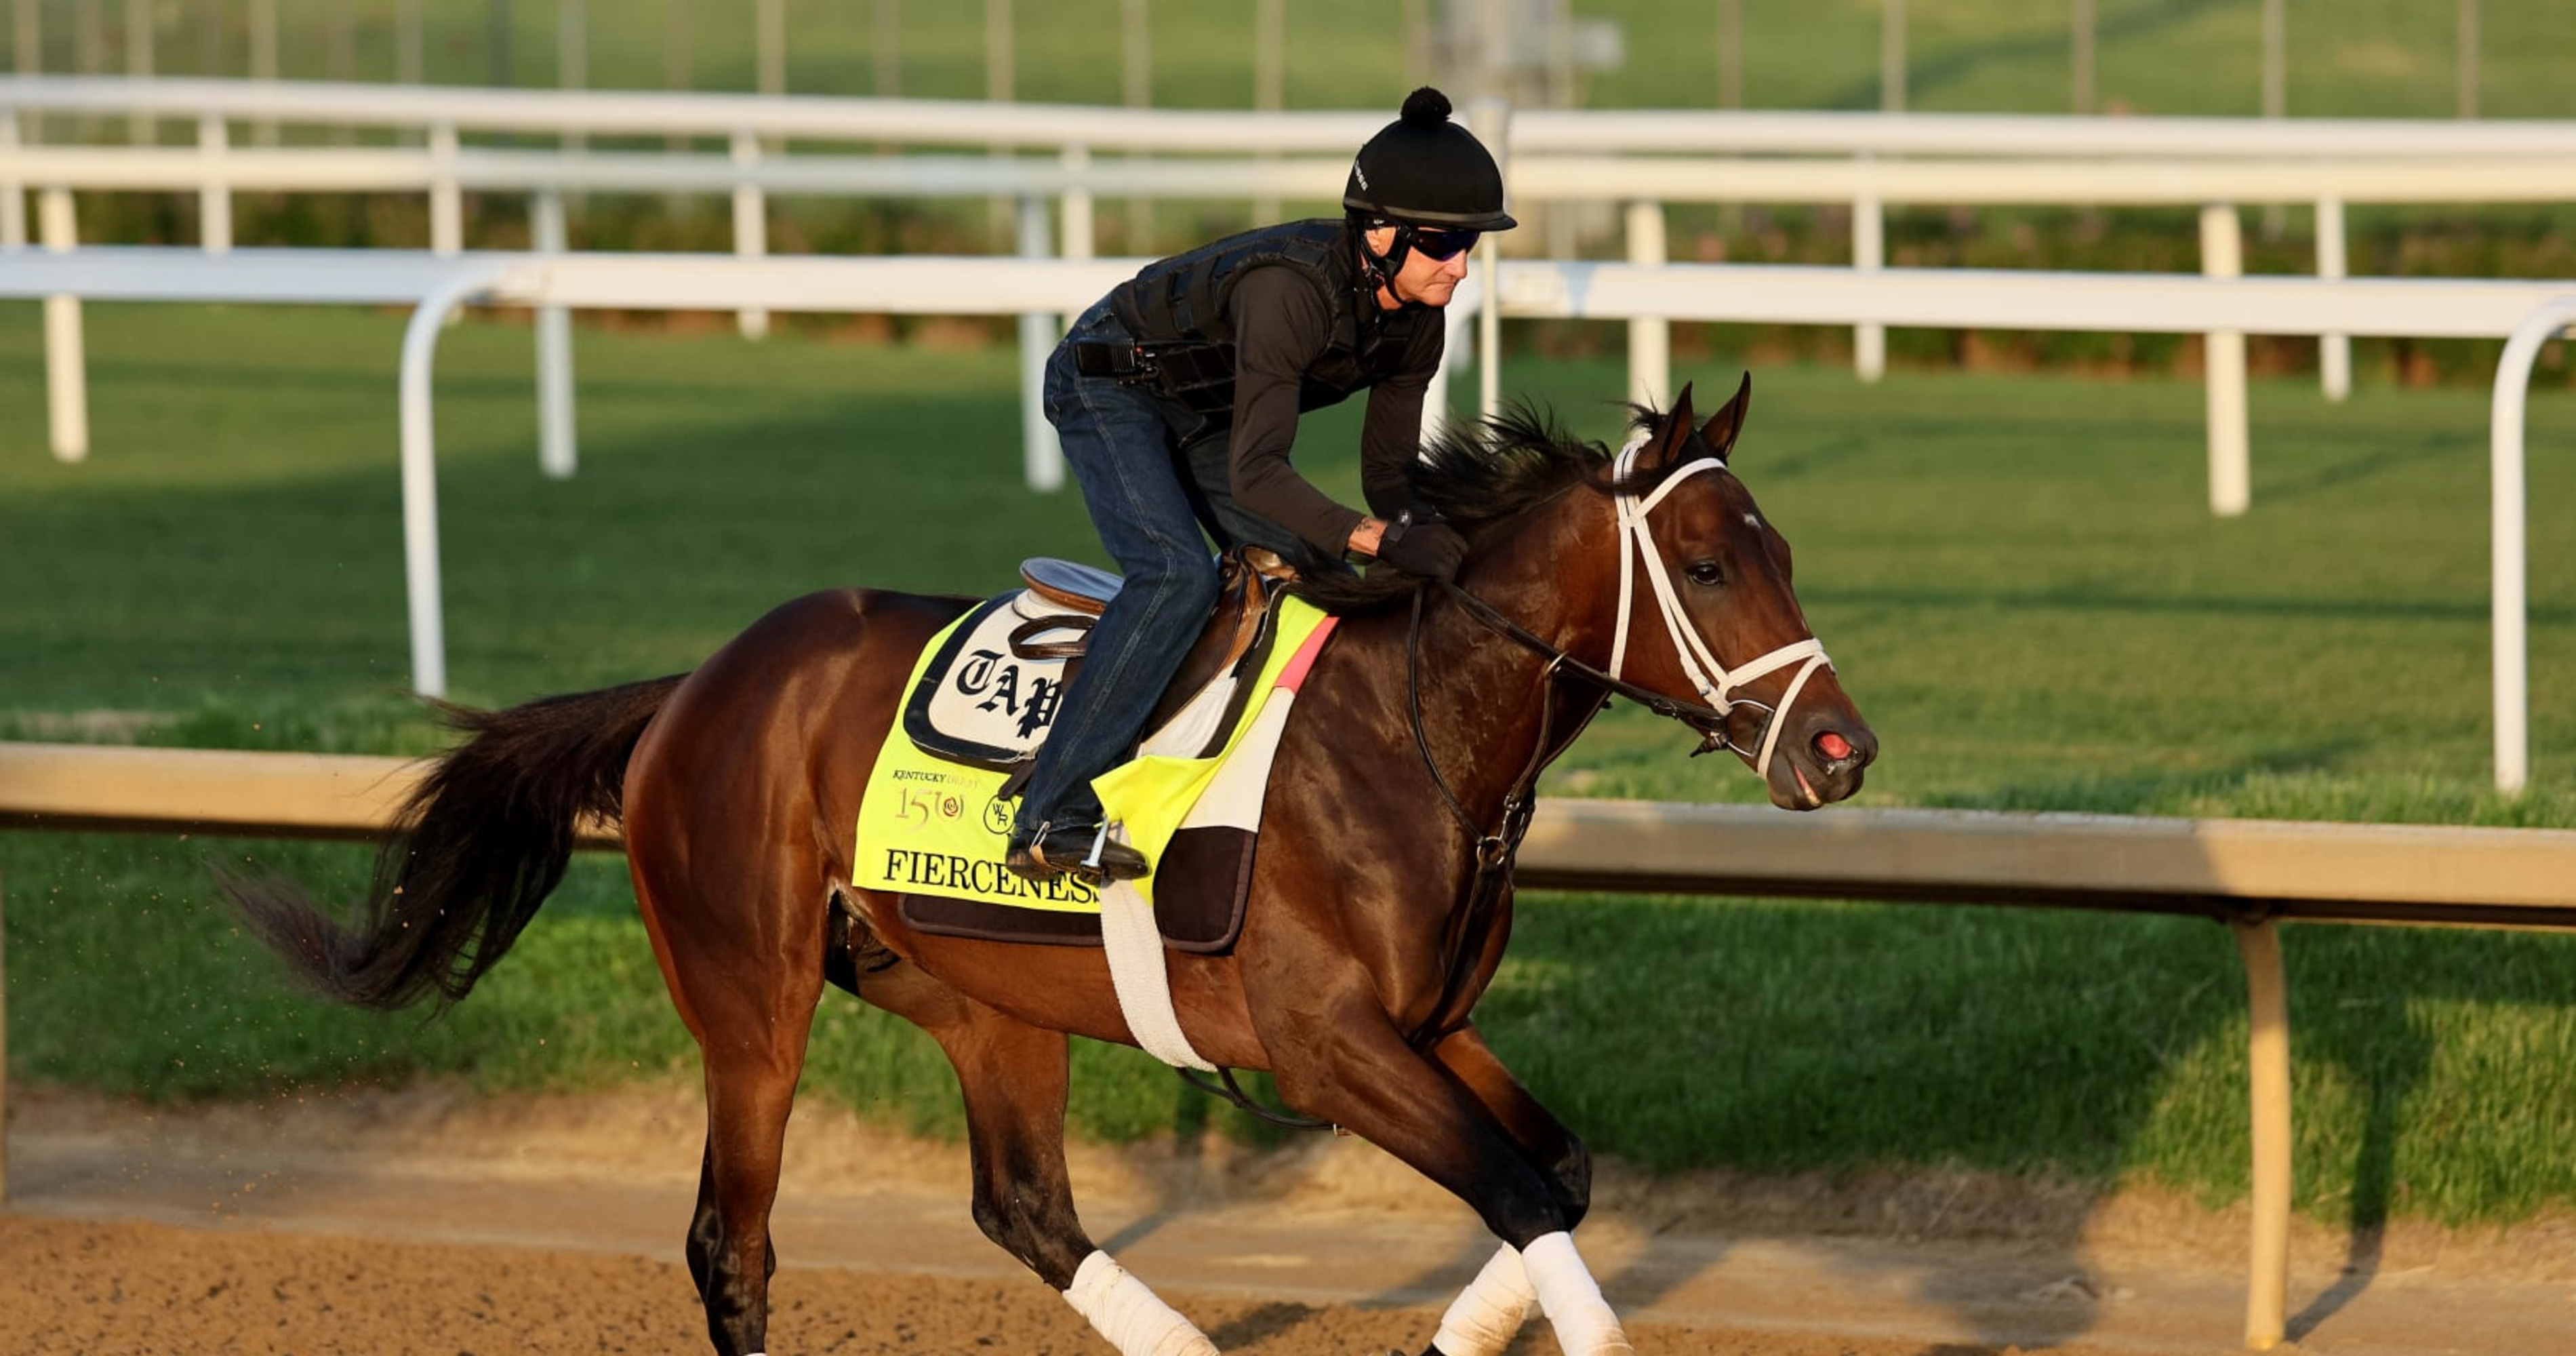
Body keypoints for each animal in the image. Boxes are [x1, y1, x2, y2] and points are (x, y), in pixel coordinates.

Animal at [232, 374, 1885, 1356]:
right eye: (1710, 565)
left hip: (985, 1002)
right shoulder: (1323, 1046)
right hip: (752, 1000)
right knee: (730, 1242)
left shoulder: (1433, 1027)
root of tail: (697, 686)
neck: (1411, 736)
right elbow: (1521, 1191)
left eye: (1785, 553)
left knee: (1023, 1207)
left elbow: (1561, 1173)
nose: (1842, 751)